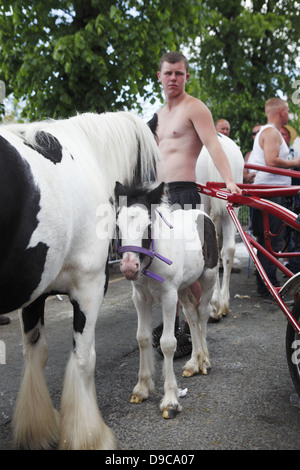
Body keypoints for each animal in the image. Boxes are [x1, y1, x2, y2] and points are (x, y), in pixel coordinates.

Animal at [0, 112, 159, 450]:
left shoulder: (36, 294)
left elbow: (36, 354)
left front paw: (37, 430)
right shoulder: (88, 288)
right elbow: (84, 359)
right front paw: (88, 436)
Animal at [115, 181, 218, 418]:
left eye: (148, 225)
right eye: (117, 225)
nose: (128, 268)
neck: (151, 261)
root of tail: (201, 214)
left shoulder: (169, 296)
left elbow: (168, 343)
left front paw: (170, 400)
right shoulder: (140, 297)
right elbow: (142, 338)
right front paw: (141, 389)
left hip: (208, 277)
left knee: (203, 313)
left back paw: (205, 360)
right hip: (185, 286)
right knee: (191, 314)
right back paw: (193, 362)